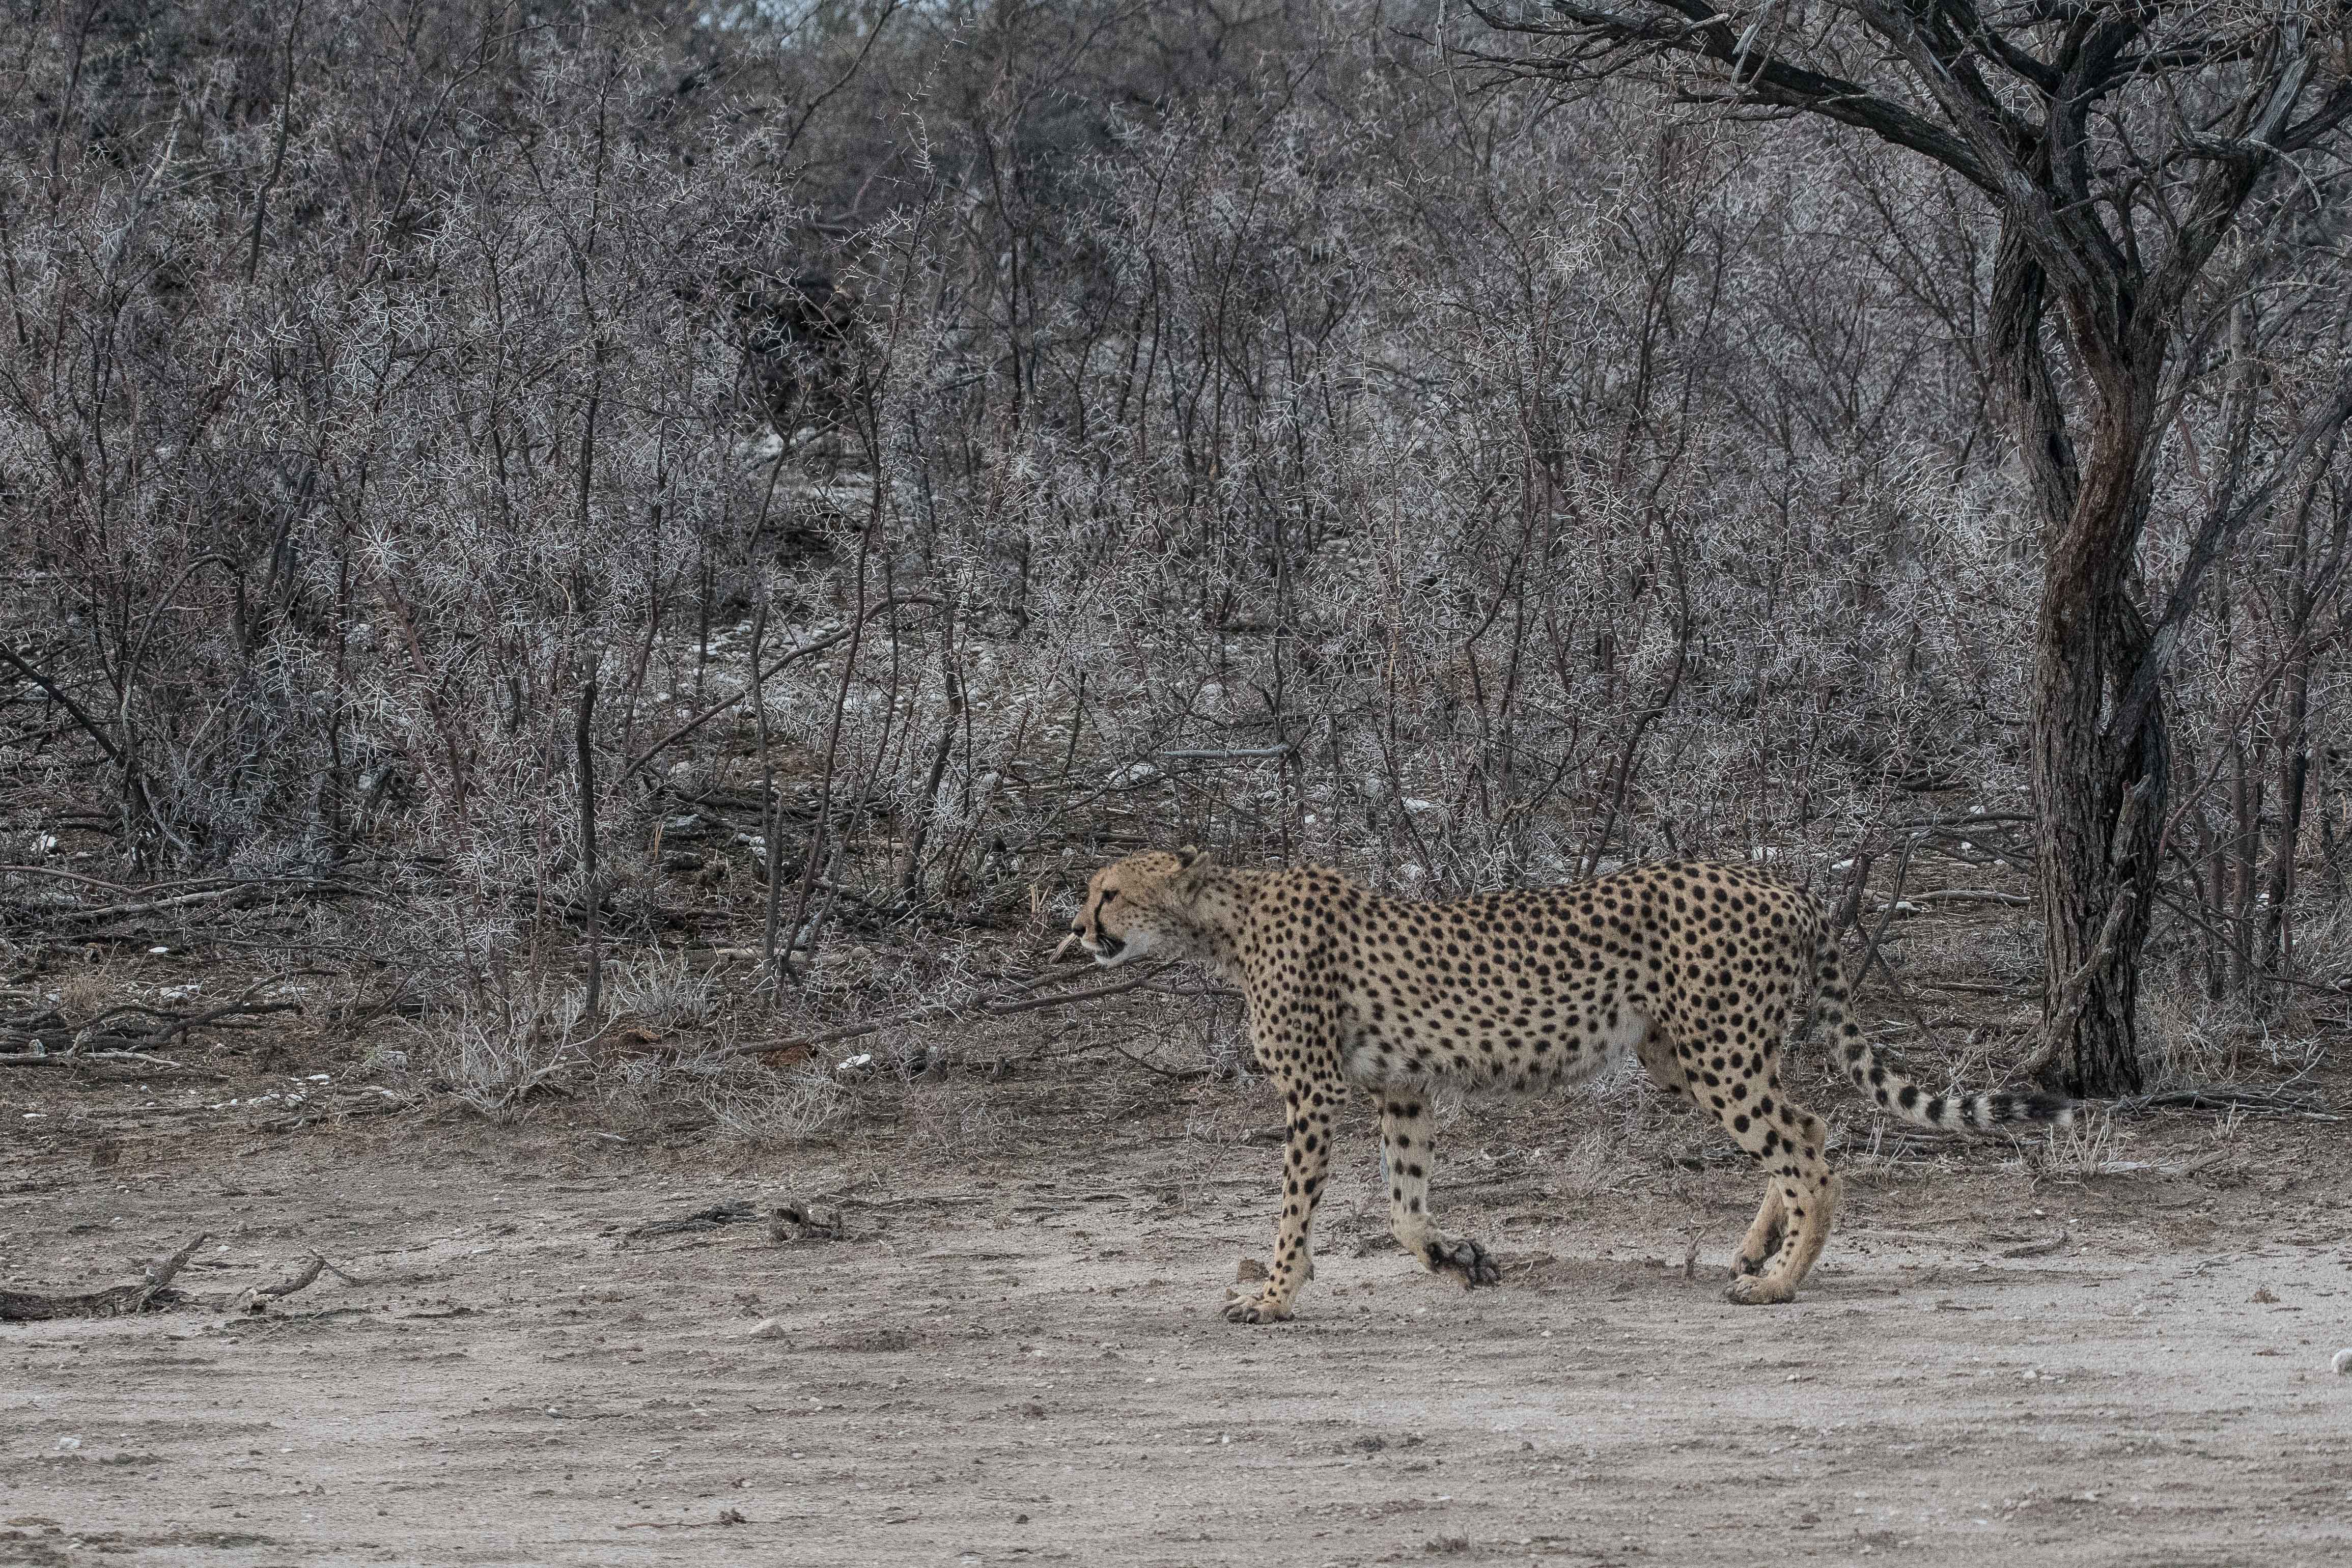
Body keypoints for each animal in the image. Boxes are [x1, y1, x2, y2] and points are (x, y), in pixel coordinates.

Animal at [1058, 851, 2069, 1316]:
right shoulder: (1401, 1087)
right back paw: (1756, 1251)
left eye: (1110, 892)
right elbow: (1402, 1206)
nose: (1075, 928)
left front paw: (1272, 1294)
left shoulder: (1315, 1092)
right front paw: (1456, 1259)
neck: (1225, 921)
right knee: (1802, 1130)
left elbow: (1295, 1208)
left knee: (1806, 1143)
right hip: (1687, 1052)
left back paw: (1780, 1283)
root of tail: (1785, 884)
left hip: (1716, 1051)